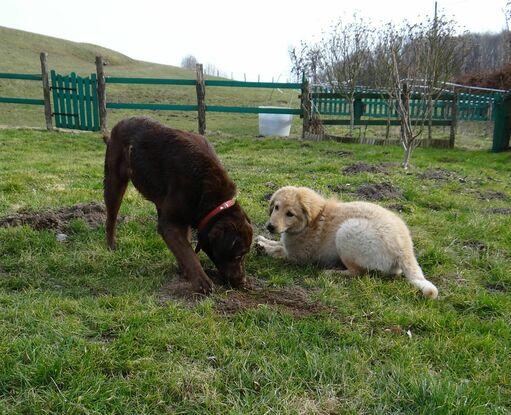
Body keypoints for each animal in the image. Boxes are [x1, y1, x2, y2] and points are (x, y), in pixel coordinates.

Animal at [104, 115, 254, 294]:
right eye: (238, 255)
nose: (242, 282)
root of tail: (120, 123)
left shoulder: (184, 218)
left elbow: (184, 246)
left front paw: (184, 271)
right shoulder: (171, 222)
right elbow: (188, 252)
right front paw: (202, 281)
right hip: (114, 181)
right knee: (111, 217)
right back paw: (111, 246)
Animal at [258, 188, 438, 300]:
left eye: (290, 214)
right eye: (276, 207)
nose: (270, 226)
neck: (310, 221)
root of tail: (405, 250)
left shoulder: (297, 257)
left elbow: (279, 252)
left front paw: (265, 248)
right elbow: (278, 244)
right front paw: (262, 240)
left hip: (347, 232)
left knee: (358, 272)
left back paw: (331, 272)